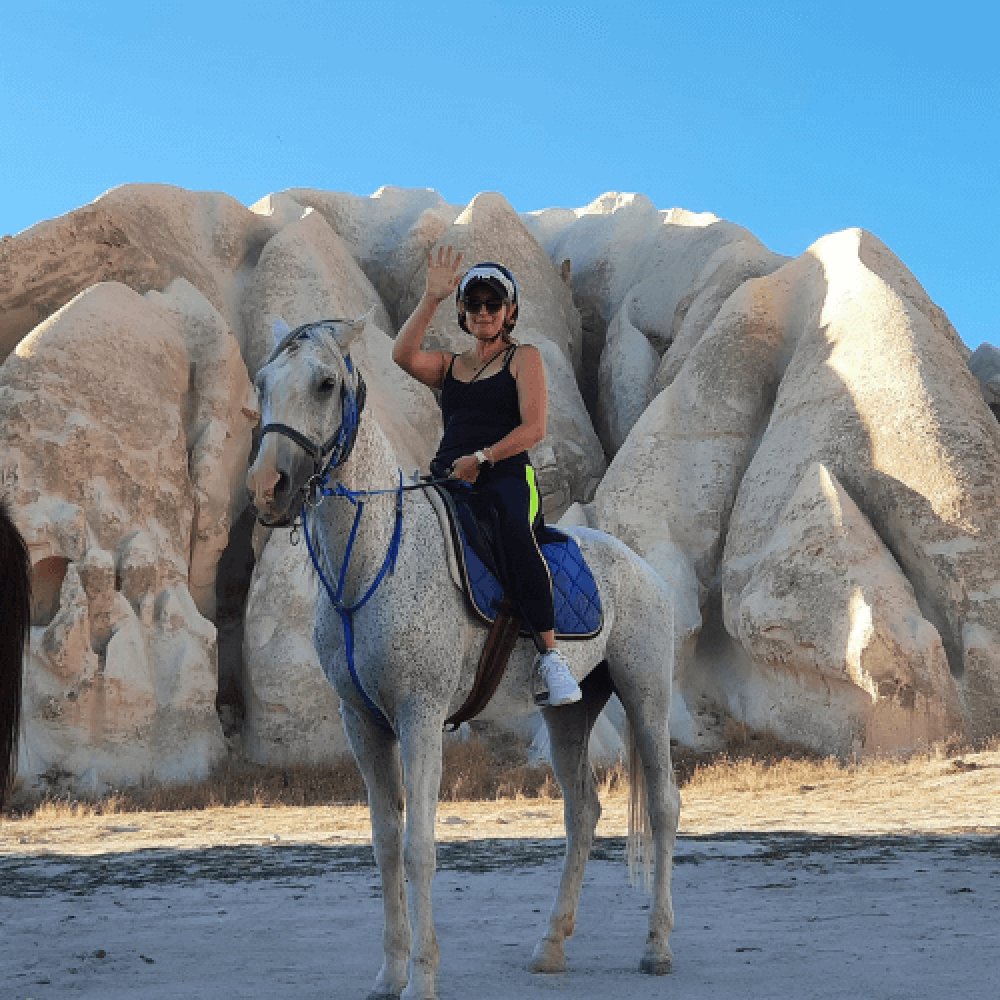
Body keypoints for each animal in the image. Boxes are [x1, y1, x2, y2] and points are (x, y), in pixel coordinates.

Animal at [247, 316, 680, 1000]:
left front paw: (422, 977)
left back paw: (657, 946)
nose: (269, 489)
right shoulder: (362, 723)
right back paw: (550, 945)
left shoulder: (420, 717)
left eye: (324, 384)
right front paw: (388, 974)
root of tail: (641, 568)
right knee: (582, 812)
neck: (370, 562)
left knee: (663, 807)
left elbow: (420, 848)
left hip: (645, 696)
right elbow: (385, 843)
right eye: (262, 382)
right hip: (569, 714)